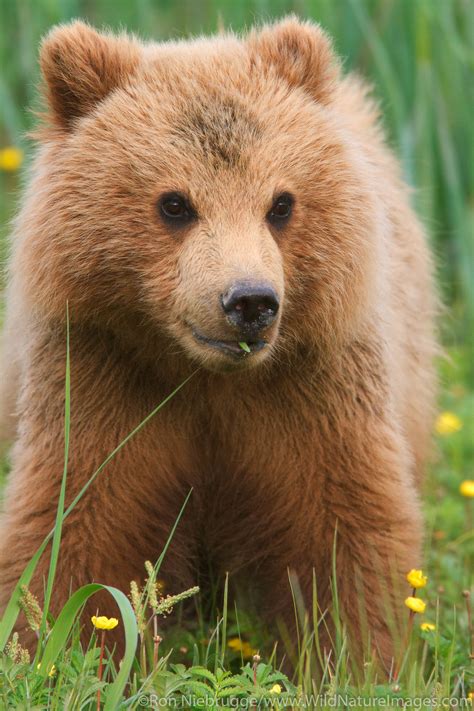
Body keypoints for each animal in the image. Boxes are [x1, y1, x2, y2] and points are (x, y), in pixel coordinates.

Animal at [0, 17, 437, 667]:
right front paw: (57, 648)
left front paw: (357, 658)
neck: (204, 373)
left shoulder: (314, 389)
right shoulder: (104, 375)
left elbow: (346, 525)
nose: (250, 301)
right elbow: (79, 517)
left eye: (281, 203)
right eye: (174, 203)